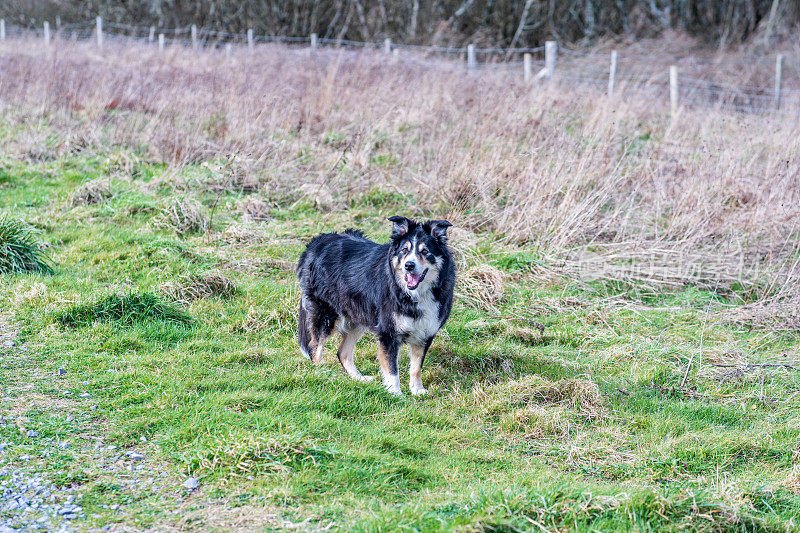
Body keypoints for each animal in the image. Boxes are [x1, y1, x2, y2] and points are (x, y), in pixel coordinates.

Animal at [296, 216, 456, 394]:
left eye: (425, 251)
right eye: (404, 251)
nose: (409, 265)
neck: (413, 293)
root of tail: (317, 243)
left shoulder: (424, 333)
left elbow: (416, 367)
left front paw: (417, 391)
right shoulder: (388, 333)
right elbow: (392, 369)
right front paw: (395, 394)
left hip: (356, 316)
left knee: (342, 352)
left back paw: (359, 379)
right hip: (325, 314)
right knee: (314, 347)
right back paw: (322, 374)